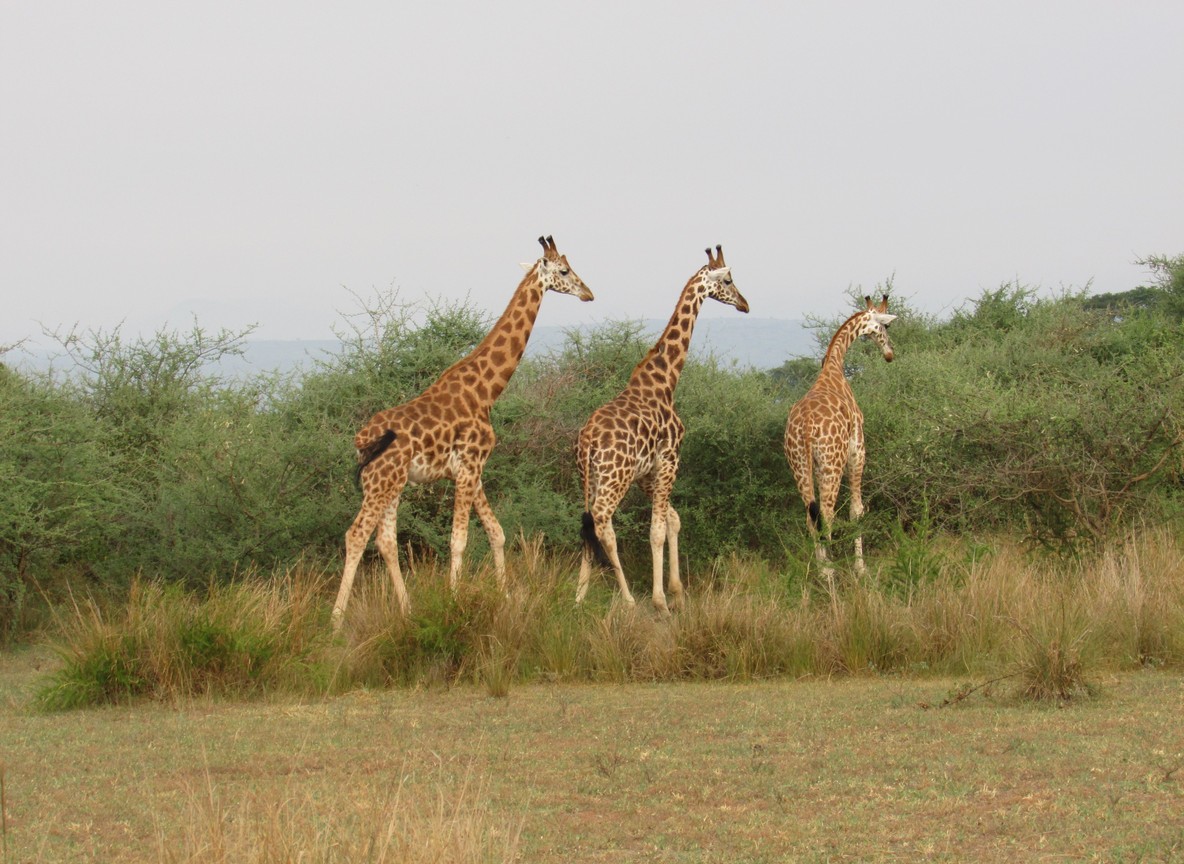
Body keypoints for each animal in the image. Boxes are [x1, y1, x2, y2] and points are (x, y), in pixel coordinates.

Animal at [331, 235, 593, 630]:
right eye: (564, 270)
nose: (588, 293)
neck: (484, 391)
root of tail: (361, 442)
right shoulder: (469, 467)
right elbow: (459, 540)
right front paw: (453, 603)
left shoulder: (473, 470)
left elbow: (497, 533)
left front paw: (503, 595)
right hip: (380, 483)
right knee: (356, 535)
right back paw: (335, 622)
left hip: (391, 484)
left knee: (386, 541)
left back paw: (407, 610)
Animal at [575, 245, 749, 614]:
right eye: (728, 279)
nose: (745, 303)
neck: (666, 380)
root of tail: (588, 442)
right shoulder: (670, 458)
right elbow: (656, 529)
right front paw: (660, 600)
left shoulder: (646, 471)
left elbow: (673, 518)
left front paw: (677, 591)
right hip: (615, 477)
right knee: (603, 523)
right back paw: (627, 598)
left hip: (590, 477)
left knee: (588, 523)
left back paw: (579, 596)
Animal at [784, 294, 896, 577]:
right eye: (887, 326)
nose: (890, 354)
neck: (834, 367)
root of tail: (806, 428)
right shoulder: (858, 449)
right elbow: (857, 510)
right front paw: (860, 568)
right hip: (831, 464)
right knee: (827, 515)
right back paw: (830, 573)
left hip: (800, 465)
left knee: (811, 517)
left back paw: (821, 571)